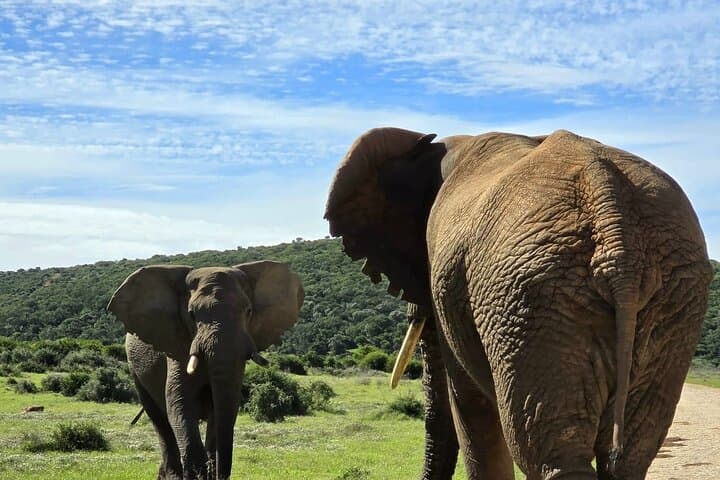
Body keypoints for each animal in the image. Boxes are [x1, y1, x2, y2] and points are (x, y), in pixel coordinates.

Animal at [108, 261, 304, 480]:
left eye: (248, 311)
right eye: (191, 314)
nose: (218, 473)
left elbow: (223, 407)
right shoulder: (177, 345)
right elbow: (179, 403)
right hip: (135, 368)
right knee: (160, 420)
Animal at [325, 128, 712, 479]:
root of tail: (609, 205)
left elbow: (470, 406)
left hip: (530, 293)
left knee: (544, 451)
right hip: (672, 294)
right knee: (631, 452)